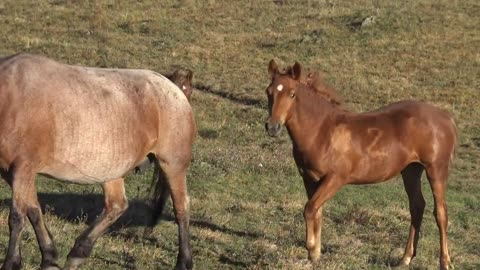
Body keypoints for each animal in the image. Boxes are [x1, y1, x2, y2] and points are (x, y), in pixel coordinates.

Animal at [0, 52, 195, 270]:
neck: (10, 97)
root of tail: (174, 90)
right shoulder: (11, 172)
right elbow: (33, 212)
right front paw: (49, 258)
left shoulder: (22, 169)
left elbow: (17, 218)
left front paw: (11, 263)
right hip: (112, 172)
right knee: (117, 205)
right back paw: (78, 253)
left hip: (173, 165)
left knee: (181, 208)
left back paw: (184, 262)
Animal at [266, 60, 458, 268]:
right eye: (269, 92)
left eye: (292, 94)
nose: (272, 127)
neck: (322, 131)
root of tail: (447, 118)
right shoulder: (309, 179)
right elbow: (316, 211)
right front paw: (315, 254)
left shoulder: (336, 178)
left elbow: (309, 209)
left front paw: (310, 248)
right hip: (411, 170)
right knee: (417, 207)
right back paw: (405, 259)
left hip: (436, 169)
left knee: (441, 213)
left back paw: (445, 262)